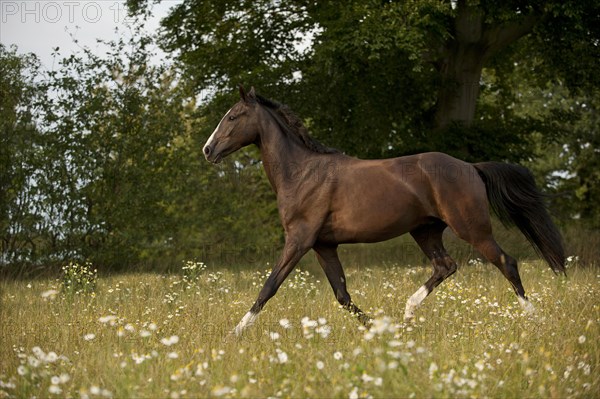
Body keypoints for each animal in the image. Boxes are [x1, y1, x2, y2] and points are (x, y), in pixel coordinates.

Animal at [204, 88, 564, 338]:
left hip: (472, 229)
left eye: (233, 116)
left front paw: (233, 334)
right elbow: (342, 295)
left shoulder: (299, 240)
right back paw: (406, 316)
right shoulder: (323, 246)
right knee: (445, 266)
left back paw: (535, 318)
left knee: (506, 263)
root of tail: (471, 167)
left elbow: (268, 287)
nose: (208, 150)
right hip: (425, 231)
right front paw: (379, 330)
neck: (302, 172)